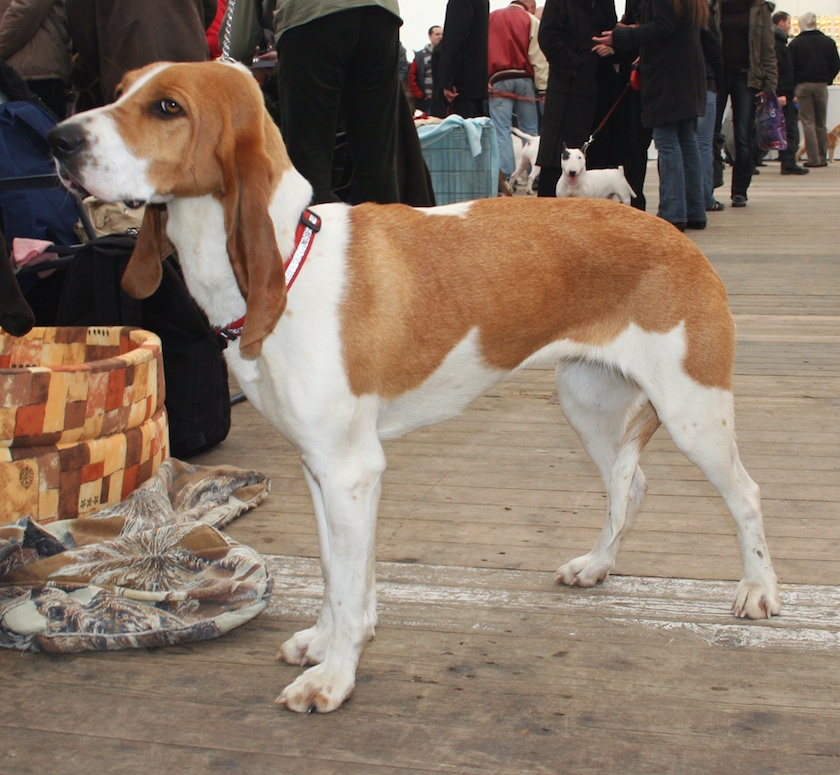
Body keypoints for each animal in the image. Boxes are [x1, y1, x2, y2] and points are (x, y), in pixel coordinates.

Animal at [49, 60, 776, 716]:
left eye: (167, 107)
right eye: (119, 91)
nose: (58, 139)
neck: (287, 262)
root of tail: (673, 236)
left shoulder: (350, 468)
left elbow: (347, 585)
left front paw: (333, 678)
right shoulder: (325, 469)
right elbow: (341, 576)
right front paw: (329, 643)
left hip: (693, 411)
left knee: (744, 494)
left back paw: (759, 589)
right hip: (587, 402)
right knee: (631, 483)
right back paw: (598, 564)